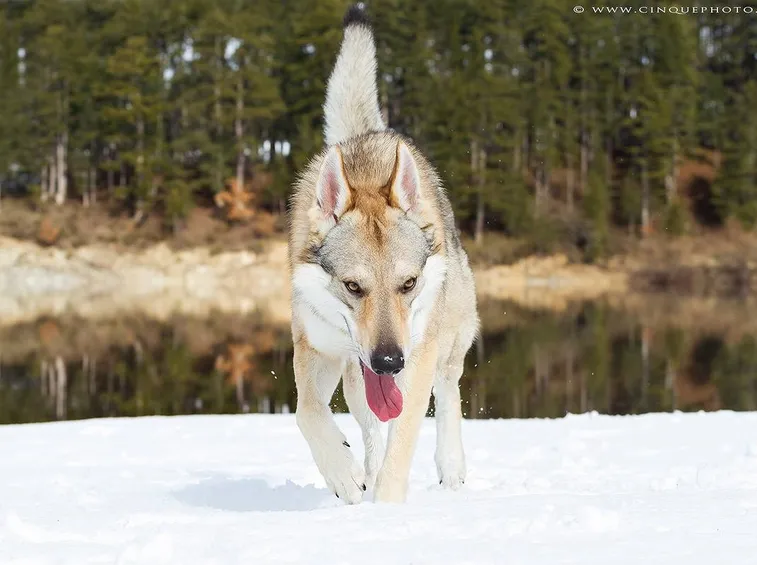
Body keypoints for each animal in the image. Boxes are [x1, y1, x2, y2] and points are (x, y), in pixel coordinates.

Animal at [287, 4, 479, 504]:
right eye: (353, 286)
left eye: (408, 283)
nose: (389, 361)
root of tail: (368, 133)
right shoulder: (316, 347)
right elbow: (306, 412)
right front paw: (344, 476)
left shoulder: (417, 359)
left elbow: (403, 445)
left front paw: (388, 512)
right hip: (357, 376)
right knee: (369, 425)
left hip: (448, 342)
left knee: (448, 394)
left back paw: (452, 471)